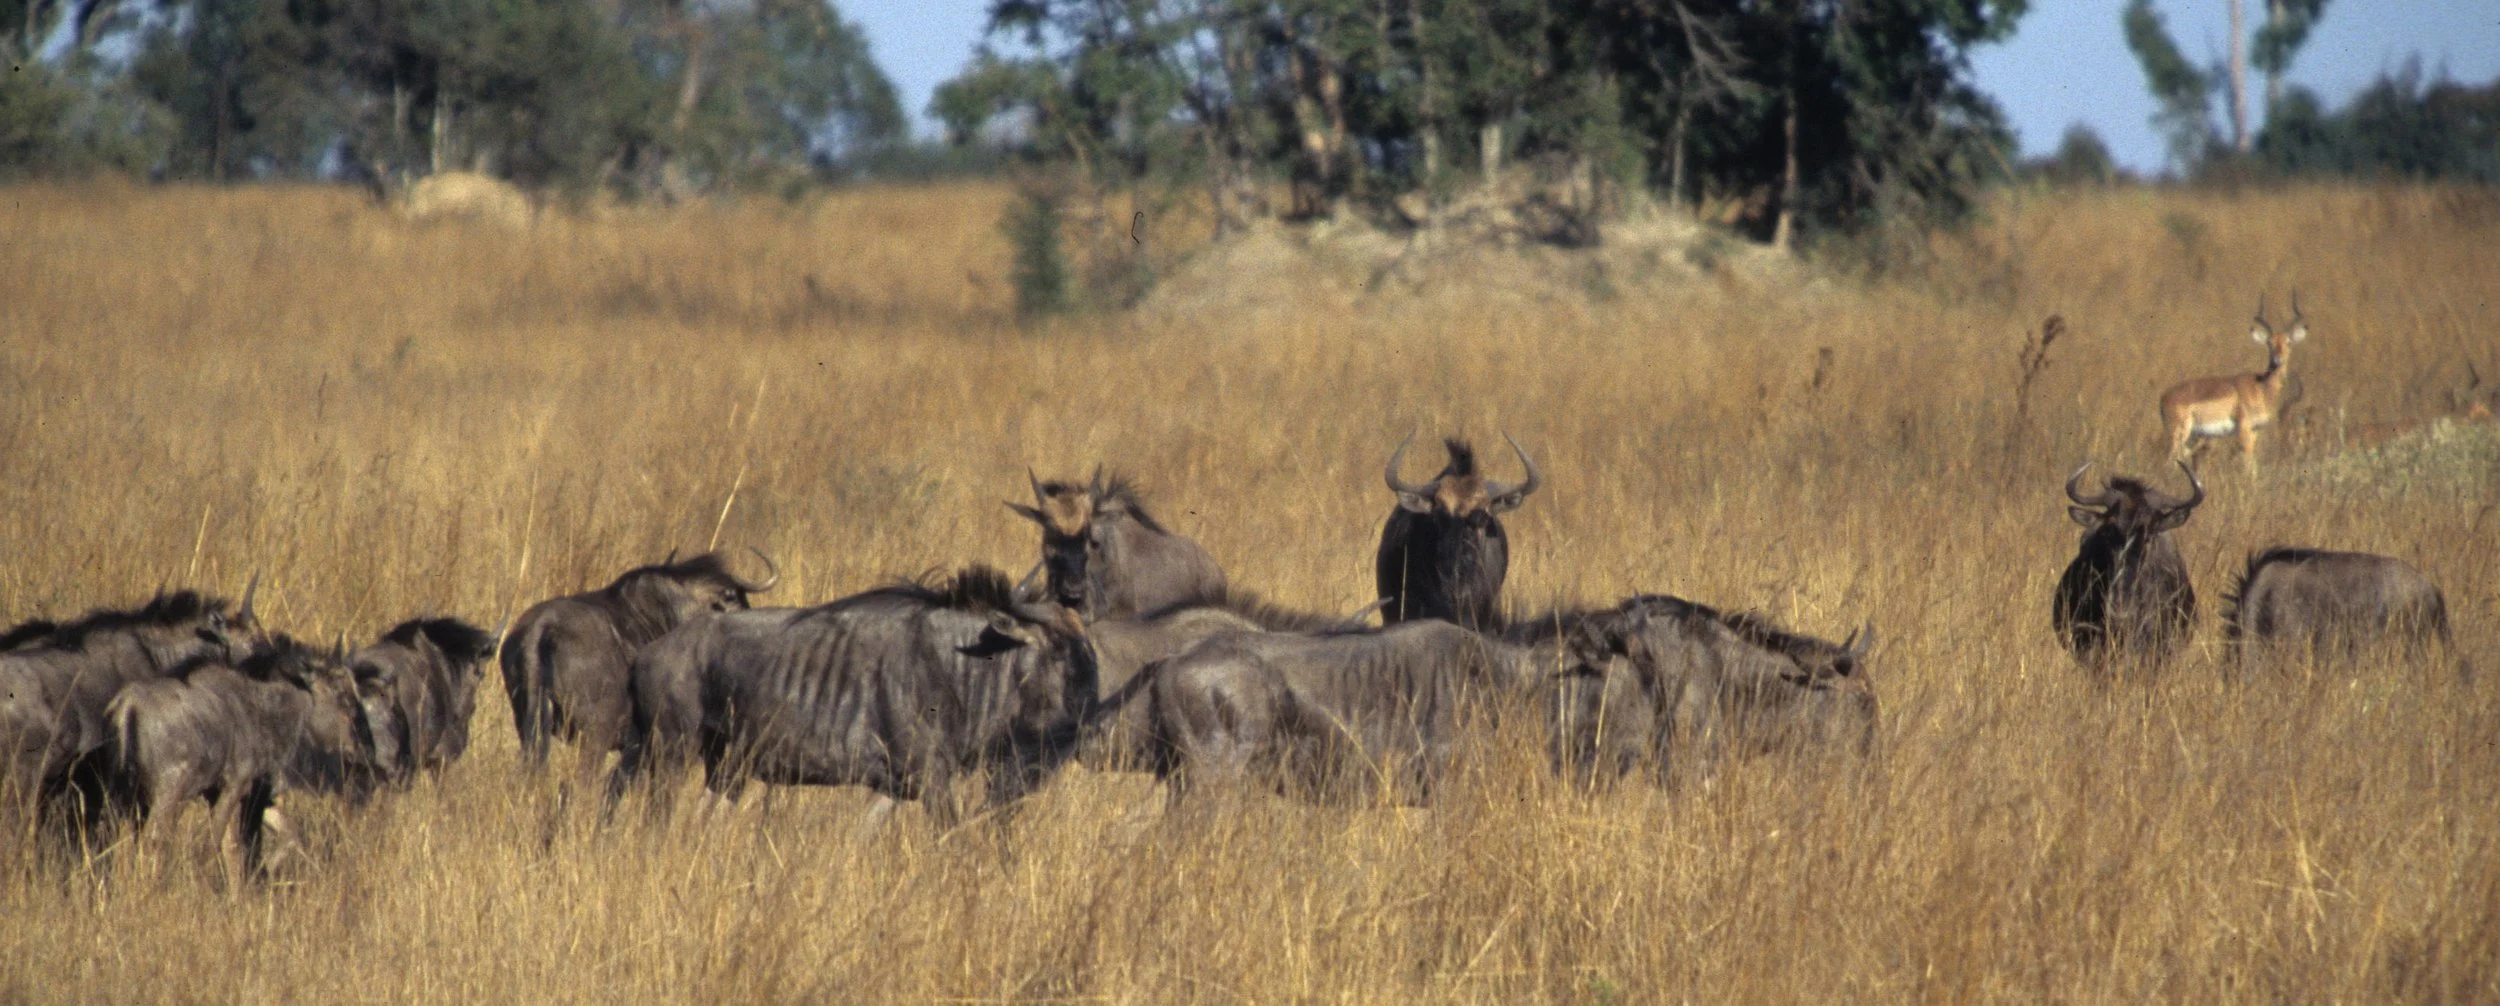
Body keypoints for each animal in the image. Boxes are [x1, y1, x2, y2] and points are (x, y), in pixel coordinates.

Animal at [2159, 294, 2307, 473]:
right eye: (2270, 343)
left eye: (2288, 342)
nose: (2277, 361)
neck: (2261, 387)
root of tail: (2163, 398)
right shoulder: (2243, 430)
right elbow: (2248, 466)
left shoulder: (2254, 431)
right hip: (2179, 434)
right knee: (2167, 462)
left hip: (2191, 437)